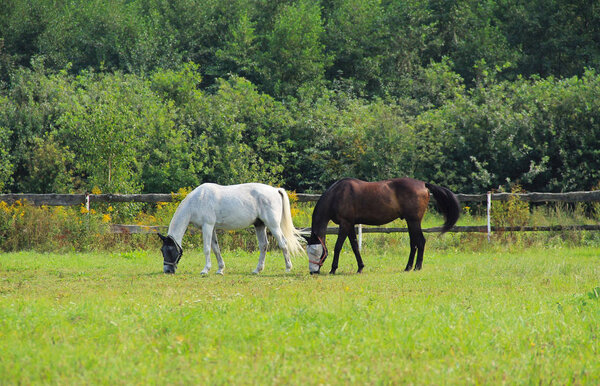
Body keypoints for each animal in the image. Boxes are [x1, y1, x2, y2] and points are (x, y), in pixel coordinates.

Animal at [158, 182, 302, 274]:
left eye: (170, 250)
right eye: (162, 250)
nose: (167, 271)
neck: (197, 201)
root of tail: (275, 190)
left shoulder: (207, 226)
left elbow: (207, 249)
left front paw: (205, 270)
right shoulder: (212, 228)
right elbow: (216, 248)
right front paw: (220, 269)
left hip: (273, 225)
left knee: (283, 243)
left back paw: (288, 268)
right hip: (259, 225)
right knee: (263, 245)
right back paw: (257, 270)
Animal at [304, 178, 460, 274]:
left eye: (315, 252)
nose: (313, 272)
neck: (337, 195)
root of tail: (424, 184)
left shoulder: (345, 223)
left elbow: (338, 247)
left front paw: (333, 269)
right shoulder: (350, 225)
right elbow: (355, 247)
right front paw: (360, 267)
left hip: (414, 221)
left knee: (420, 241)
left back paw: (417, 267)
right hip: (411, 222)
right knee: (414, 243)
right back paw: (408, 267)